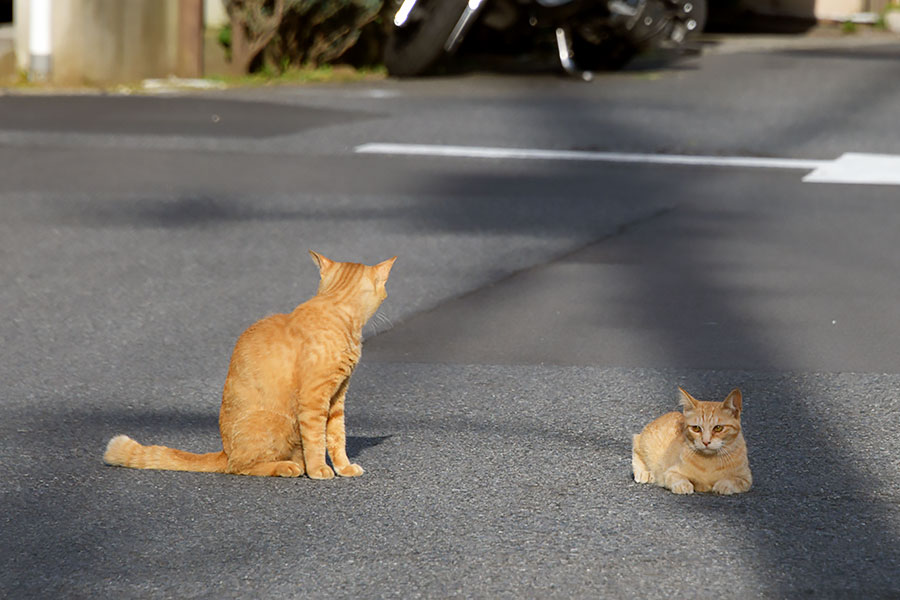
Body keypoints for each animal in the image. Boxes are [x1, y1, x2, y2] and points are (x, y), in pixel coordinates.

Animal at [103, 251, 396, 480]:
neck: (336, 312)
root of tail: (225, 451)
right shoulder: (314, 399)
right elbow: (316, 439)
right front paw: (318, 470)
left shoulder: (337, 397)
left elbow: (337, 437)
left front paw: (343, 467)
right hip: (274, 425)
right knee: (241, 466)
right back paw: (288, 467)